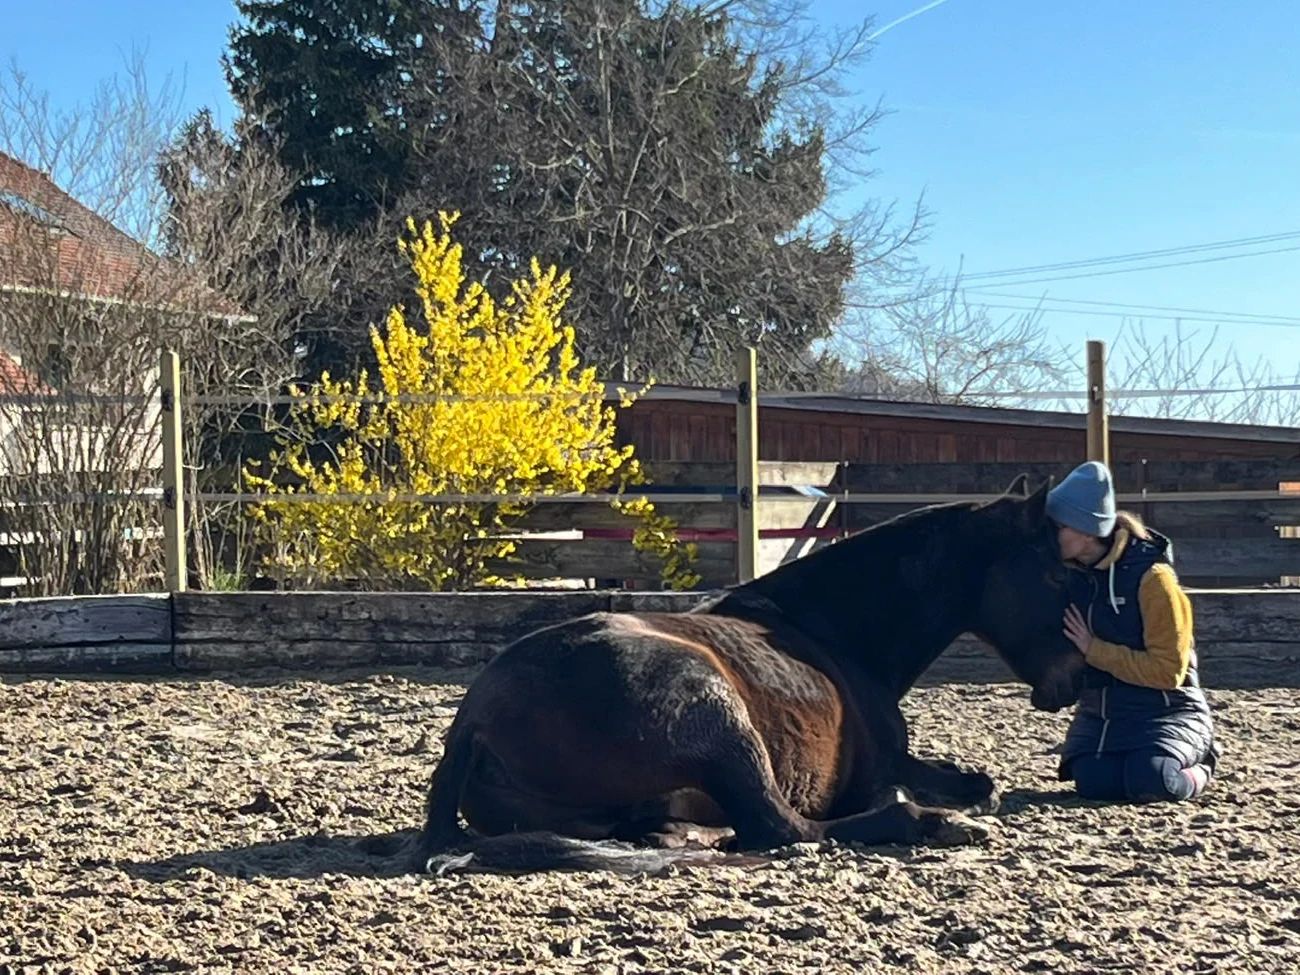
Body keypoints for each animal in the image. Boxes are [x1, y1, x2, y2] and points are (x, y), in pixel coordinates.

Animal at [413, 475, 1085, 875]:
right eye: (1056, 575)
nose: (1077, 678)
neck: (831, 633)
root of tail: (475, 719)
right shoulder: (880, 767)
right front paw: (941, 807)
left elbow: (972, 777)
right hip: (718, 717)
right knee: (781, 827)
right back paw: (930, 823)